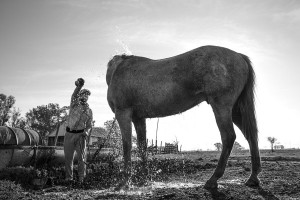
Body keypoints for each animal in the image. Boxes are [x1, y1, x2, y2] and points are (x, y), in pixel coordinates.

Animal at [106, 45, 262, 189]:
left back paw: (213, 179)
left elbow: (126, 146)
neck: (118, 69)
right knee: (251, 135)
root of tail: (240, 56)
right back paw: (253, 177)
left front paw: (125, 181)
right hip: (235, 110)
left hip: (221, 107)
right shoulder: (138, 118)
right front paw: (143, 178)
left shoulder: (123, 113)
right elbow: (142, 146)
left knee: (229, 137)